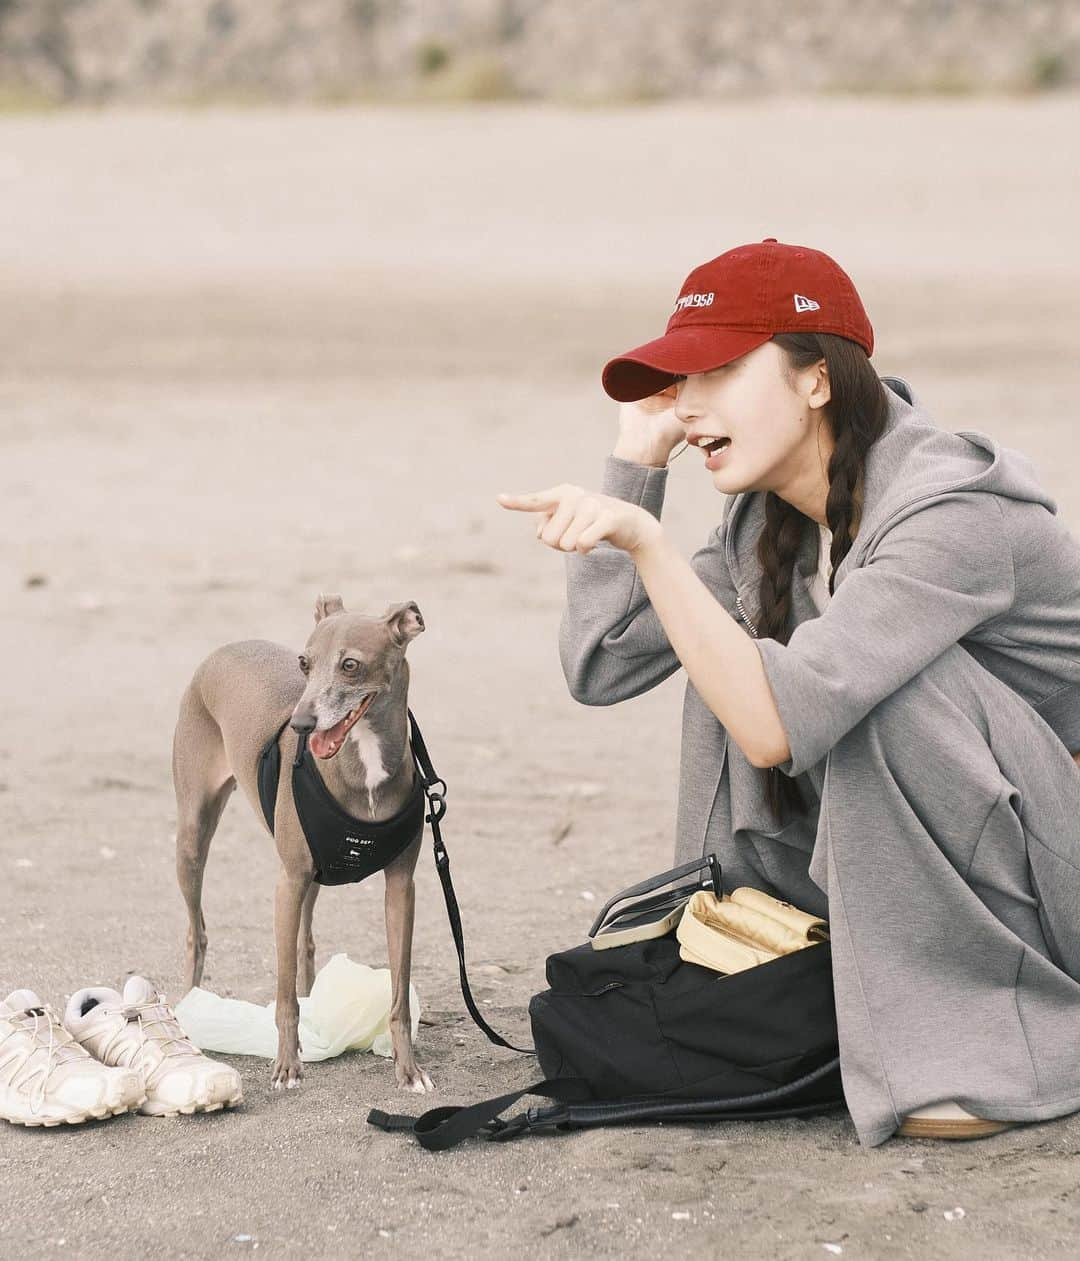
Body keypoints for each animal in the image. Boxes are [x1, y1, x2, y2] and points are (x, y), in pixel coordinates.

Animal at [172, 592, 434, 1094]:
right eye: (304, 663)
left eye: (350, 665)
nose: (301, 724)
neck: (364, 768)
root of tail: (224, 649)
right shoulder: (287, 883)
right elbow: (283, 996)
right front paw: (286, 1066)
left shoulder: (402, 887)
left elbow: (397, 996)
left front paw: (408, 1070)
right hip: (194, 837)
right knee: (197, 932)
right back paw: (189, 1007)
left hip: (316, 874)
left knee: (304, 945)